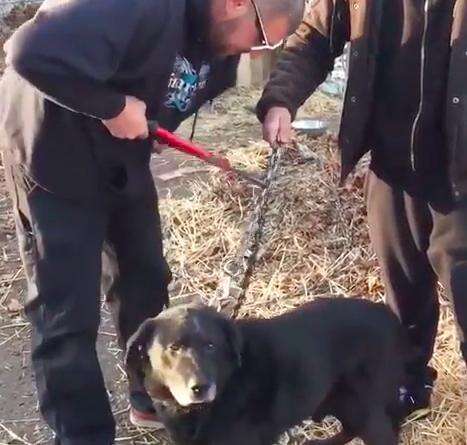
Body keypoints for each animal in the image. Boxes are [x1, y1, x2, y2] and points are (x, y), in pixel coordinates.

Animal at [126, 298, 412, 444]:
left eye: (210, 346)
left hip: (365, 407)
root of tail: (392, 318)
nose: (200, 388)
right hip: (341, 401)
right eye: (174, 347)